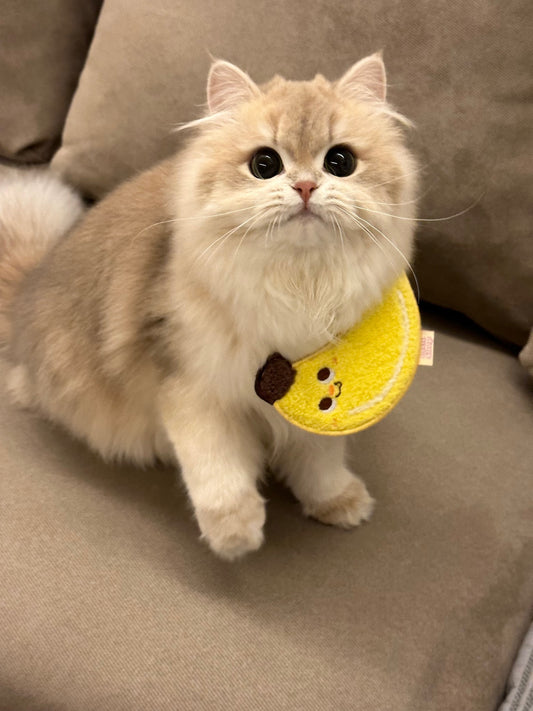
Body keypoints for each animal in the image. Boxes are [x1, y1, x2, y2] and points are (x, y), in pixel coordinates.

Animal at [0, 52, 416, 560]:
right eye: (264, 164)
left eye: (340, 162)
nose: (304, 187)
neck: (298, 286)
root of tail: (27, 290)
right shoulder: (192, 386)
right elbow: (216, 467)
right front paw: (235, 534)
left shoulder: (315, 399)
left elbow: (318, 462)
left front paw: (336, 501)